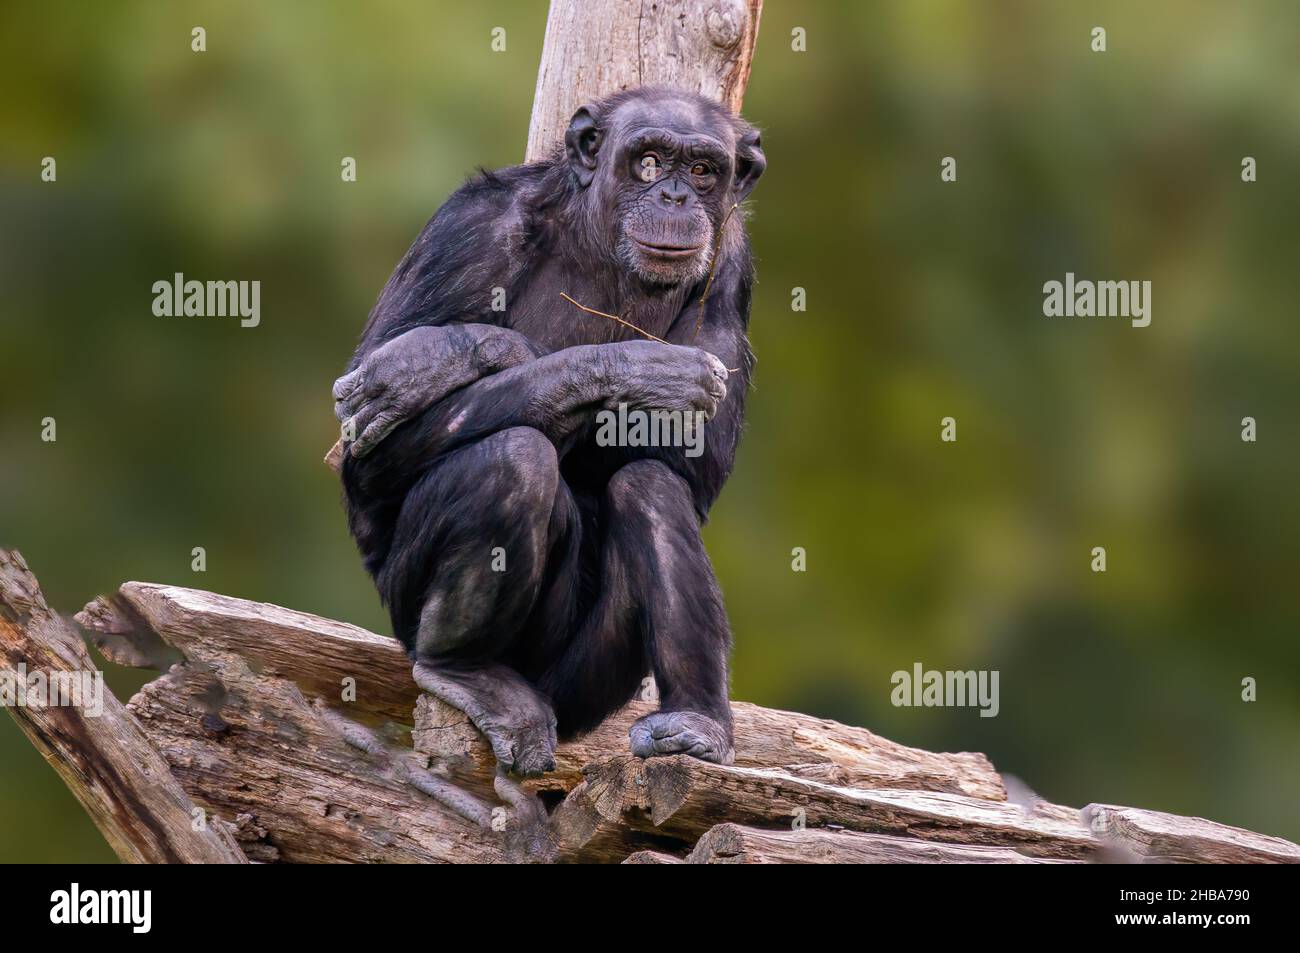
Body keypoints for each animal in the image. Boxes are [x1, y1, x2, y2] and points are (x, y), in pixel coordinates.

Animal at [330, 85, 764, 774]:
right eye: (648, 161)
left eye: (703, 170)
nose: (675, 197)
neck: (599, 242)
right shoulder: (467, 230)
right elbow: (366, 453)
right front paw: (447, 356)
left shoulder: (731, 268)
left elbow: (694, 468)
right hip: (409, 610)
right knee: (512, 458)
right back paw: (464, 669)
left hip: (587, 687)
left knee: (651, 487)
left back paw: (696, 720)